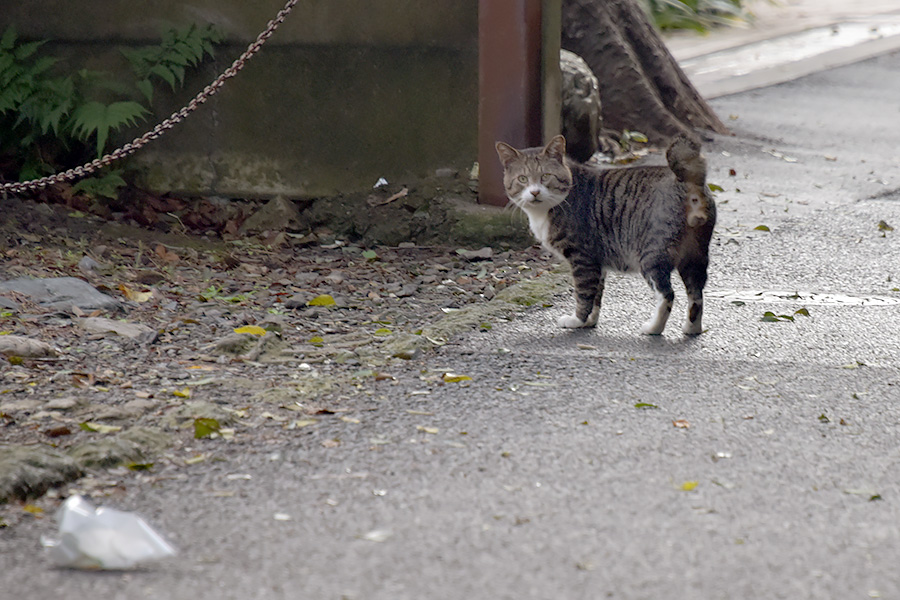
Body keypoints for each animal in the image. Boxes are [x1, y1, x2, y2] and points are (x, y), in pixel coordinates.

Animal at [496, 133, 712, 336]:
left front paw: (577, 321)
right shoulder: (597, 262)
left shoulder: (582, 257)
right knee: (696, 295)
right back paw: (692, 329)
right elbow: (596, 296)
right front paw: (589, 321)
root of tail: (685, 179)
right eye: (522, 179)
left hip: (652, 256)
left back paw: (653, 328)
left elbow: (583, 294)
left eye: (546, 176)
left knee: (667, 294)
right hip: (695, 256)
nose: (534, 192)